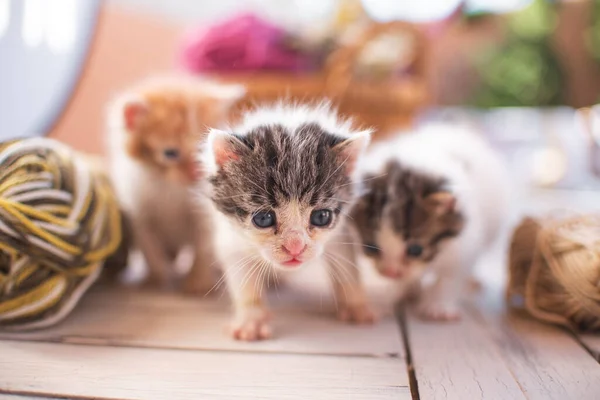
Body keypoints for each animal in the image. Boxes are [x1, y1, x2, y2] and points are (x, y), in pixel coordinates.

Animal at [106, 76, 245, 294]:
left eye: (201, 149)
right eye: (170, 153)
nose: (195, 173)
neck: (170, 187)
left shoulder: (204, 217)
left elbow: (203, 248)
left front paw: (198, 283)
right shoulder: (138, 213)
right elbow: (150, 247)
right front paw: (155, 279)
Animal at [197, 103, 376, 340]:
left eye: (321, 217)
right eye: (263, 218)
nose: (295, 247)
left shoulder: (341, 231)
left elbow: (347, 264)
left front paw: (356, 305)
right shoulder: (230, 238)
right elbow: (243, 279)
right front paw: (251, 320)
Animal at [346, 123, 510, 320]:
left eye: (416, 250)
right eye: (371, 248)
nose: (391, 273)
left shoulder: (464, 244)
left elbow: (451, 276)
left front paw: (439, 307)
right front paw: (396, 295)